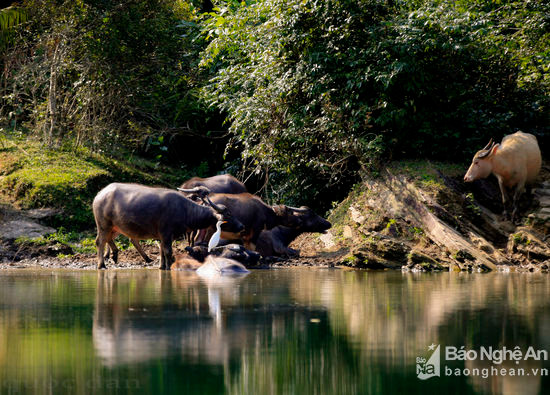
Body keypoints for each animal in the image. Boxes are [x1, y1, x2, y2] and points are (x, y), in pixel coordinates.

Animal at [94, 184, 245, 270]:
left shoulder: (163, 236)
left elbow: (162, 251)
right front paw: (167, 267)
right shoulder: (166, 234)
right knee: (101, 241)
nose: (242, 225)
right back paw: (102, 264)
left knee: (106, 240)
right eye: (229, 214)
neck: (186, 211)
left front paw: (161, 266)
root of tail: (99, 195)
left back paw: (116, 255)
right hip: (104, 225)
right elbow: (168, 252)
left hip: (114, 227)